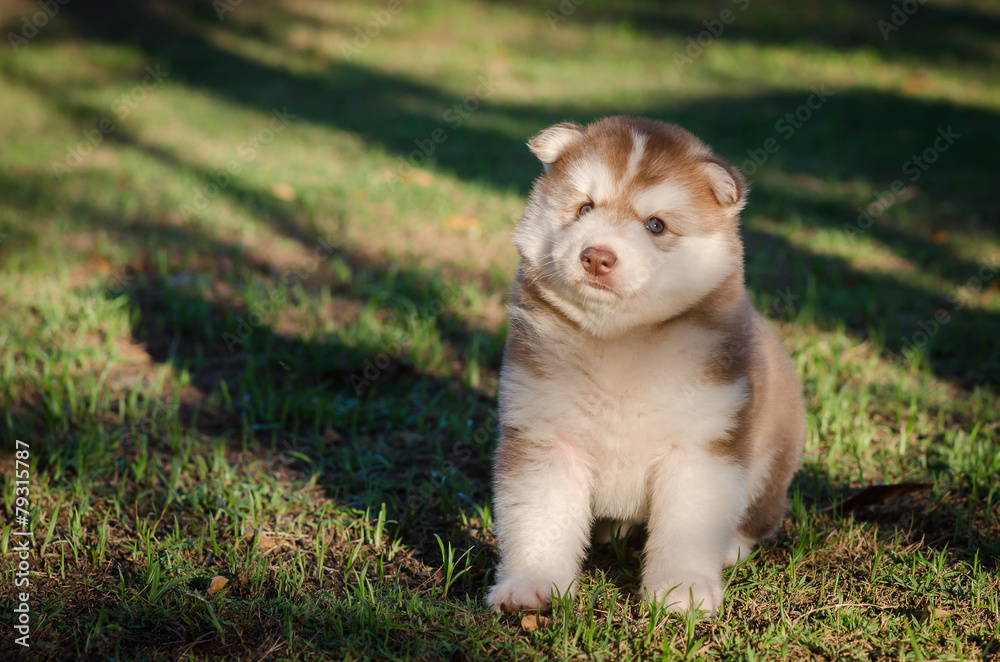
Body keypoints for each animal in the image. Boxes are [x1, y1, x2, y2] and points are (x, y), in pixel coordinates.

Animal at [488, 115, 808, 616]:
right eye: (584, 207)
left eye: (656, 225)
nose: (597, 256)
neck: (618, 341)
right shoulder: (545, 434)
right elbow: (541, 516)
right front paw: (531, 585)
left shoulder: (701, 445)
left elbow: (687, 529)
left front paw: (683, 591)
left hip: (772, 461)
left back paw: (732, 547)